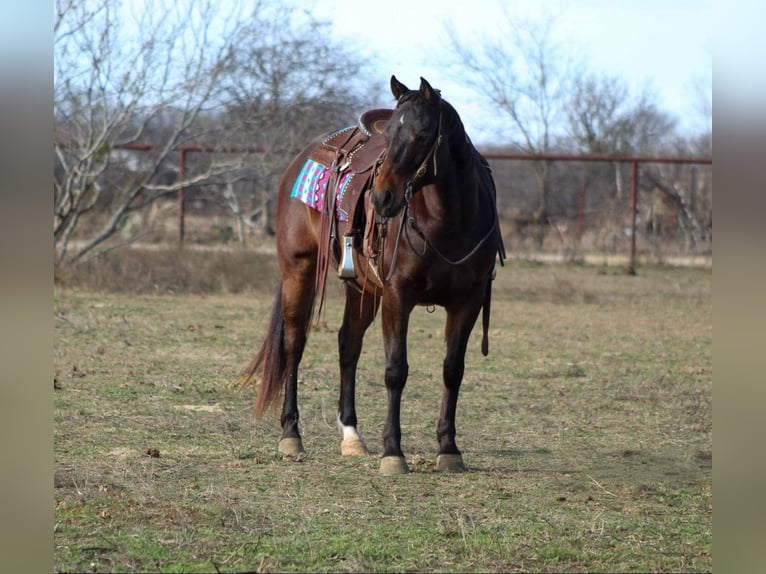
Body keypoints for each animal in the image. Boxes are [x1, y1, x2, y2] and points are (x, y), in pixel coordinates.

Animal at [239, 76, 505, 475]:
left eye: (423, 134)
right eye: (390, 133)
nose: (382, 198)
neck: (448, 222)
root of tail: (301, 158)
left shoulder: (468, 301)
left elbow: (452, 369)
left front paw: (448, 449)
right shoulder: (398, 295)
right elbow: (396, 370)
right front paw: (393, 452)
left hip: (362, 289)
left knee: (348, 344)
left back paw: (352, 436)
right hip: (299, 272)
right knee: (294, 345)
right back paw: (291, 436)